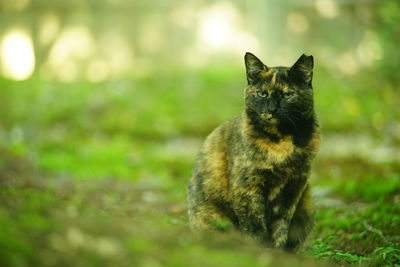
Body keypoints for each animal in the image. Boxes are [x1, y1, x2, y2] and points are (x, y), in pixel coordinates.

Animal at [186, 52, 320, 253]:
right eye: (262, 93)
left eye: (287, 94)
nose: (272, 110)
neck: (280, 143)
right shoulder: (247, 187)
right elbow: (254, 225)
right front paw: (260, 249)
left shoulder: (293, 189)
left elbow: (281, 227)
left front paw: (277, 251)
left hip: (307, 205)